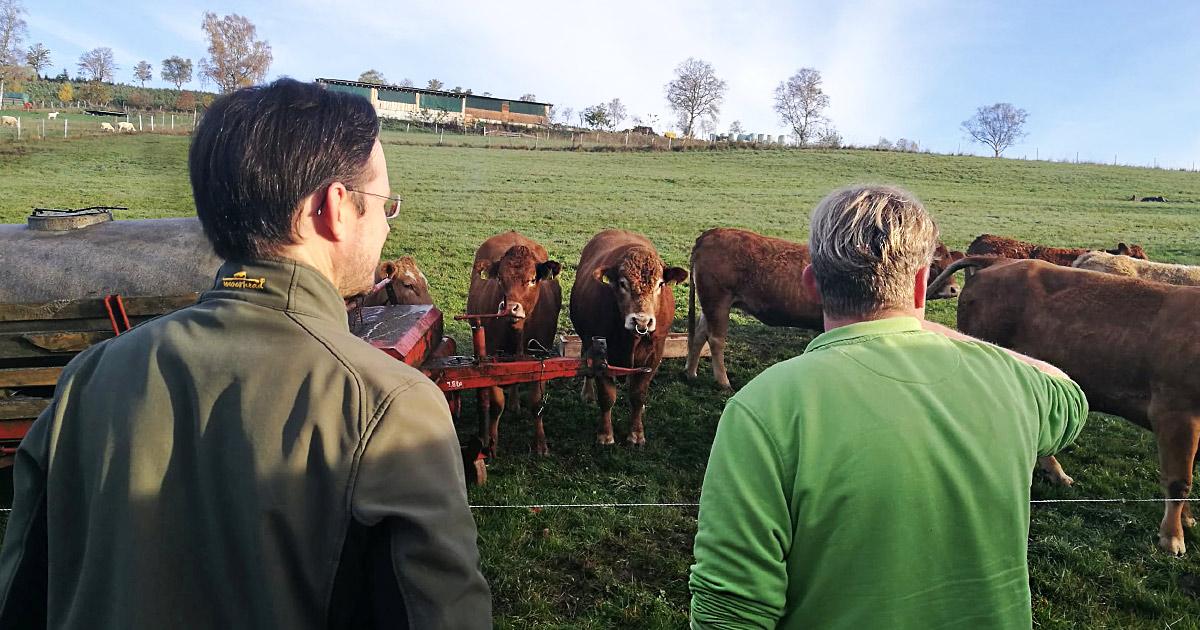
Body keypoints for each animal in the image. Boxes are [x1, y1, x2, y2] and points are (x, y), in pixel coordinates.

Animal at [465, 229, 564, 451]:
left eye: (533, 279)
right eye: (500, 279)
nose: (510, 308)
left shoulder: (540, 358)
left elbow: (536, 403)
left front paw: (540, 443)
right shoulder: (492, 357)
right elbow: (496, 404)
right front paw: (492, 442)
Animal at [568, 228, 686, 444]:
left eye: (660, 284)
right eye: (622, 283)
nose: (641, 320)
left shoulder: (655, 354)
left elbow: (638, 395)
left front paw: (636, 433)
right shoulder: (600, 353)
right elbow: (607, 397)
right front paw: (605, 434)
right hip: (585, 338)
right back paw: (588, 394)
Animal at [686, 228, 964, 388]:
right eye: (935, 265)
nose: (954, 289)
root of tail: (712, 233)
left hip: (711, 303)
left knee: (699, 334)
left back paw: (691, 372)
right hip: (718, 299)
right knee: (716, 339)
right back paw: (723, 381)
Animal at [926, 255, 1200, 554]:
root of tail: (998, 261)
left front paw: (1186, 520)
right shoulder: (1174, 413)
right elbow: (1179, 481)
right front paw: (1172, 537)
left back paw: (1056, 474)